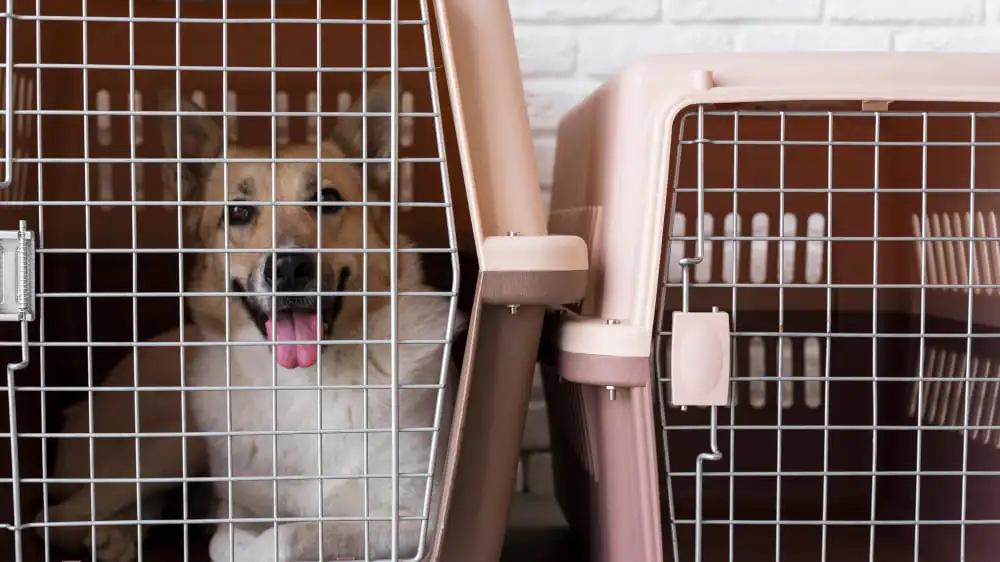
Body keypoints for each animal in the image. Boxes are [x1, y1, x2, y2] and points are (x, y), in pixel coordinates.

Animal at [34, 75, 464, 560]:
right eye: (239, 212)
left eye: (327, 200)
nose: (290, 269)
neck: (304, 382)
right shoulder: (237, 504)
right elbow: (228, 539)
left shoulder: (415, 514)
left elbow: (288, 535)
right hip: (170, 443)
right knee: (57, 515)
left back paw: (116, 537)